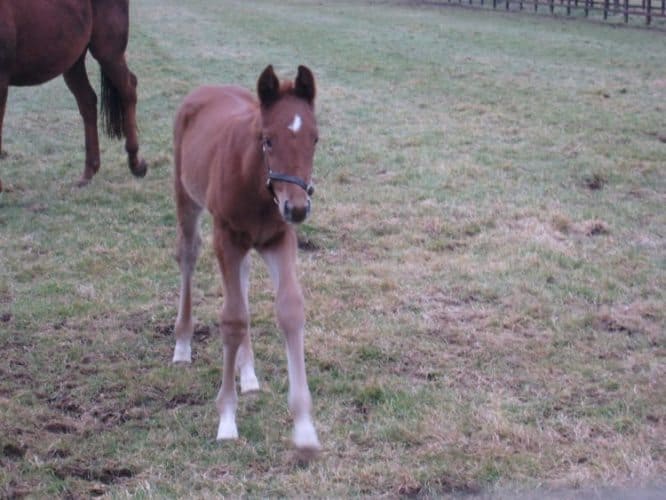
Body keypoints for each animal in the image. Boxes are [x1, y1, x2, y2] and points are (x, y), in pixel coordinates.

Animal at [0, 0, 147, 191]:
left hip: (109, 52)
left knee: (128, 90)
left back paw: (136, 163)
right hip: (73, 60)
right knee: (88, 103)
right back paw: (89, 171)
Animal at [172, 65, 320, 454]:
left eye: (315, 139)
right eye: (267, 140)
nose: (298, 208)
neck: (256, 184)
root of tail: (207, 88)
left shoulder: (279, 239)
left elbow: (290, 309)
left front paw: (304, 428)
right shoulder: (226, 237)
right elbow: (233, 319)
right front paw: (226, 418)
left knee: (243, 277)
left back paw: (249, 373)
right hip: (186, 197)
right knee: (188, 254)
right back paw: (182, 344)